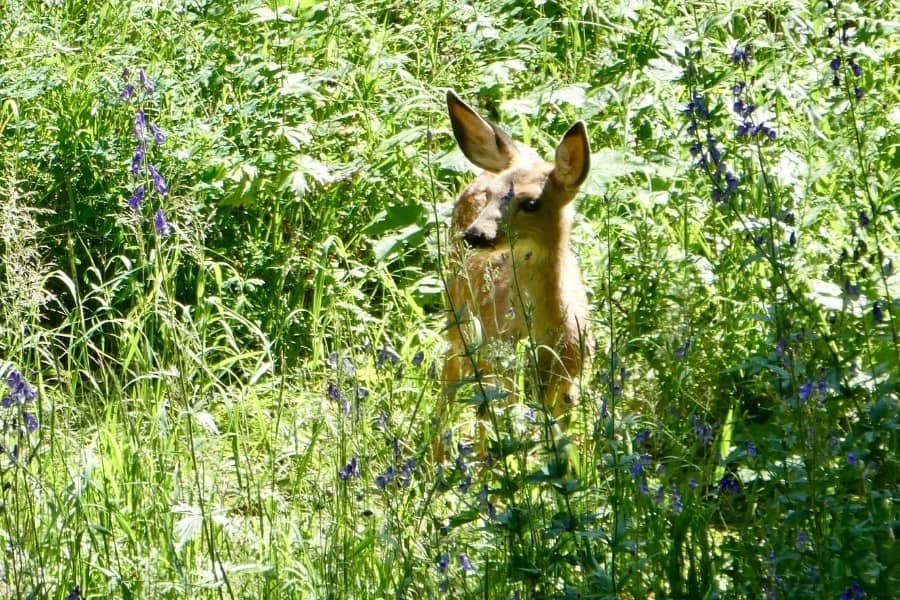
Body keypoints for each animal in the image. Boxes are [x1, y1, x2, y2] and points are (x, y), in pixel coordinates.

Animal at [439, 90, 592, 453]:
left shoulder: (572, 382)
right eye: (490, 197)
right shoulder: (499, 368)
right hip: (458, 322)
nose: (476, 235)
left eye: (532, 203)